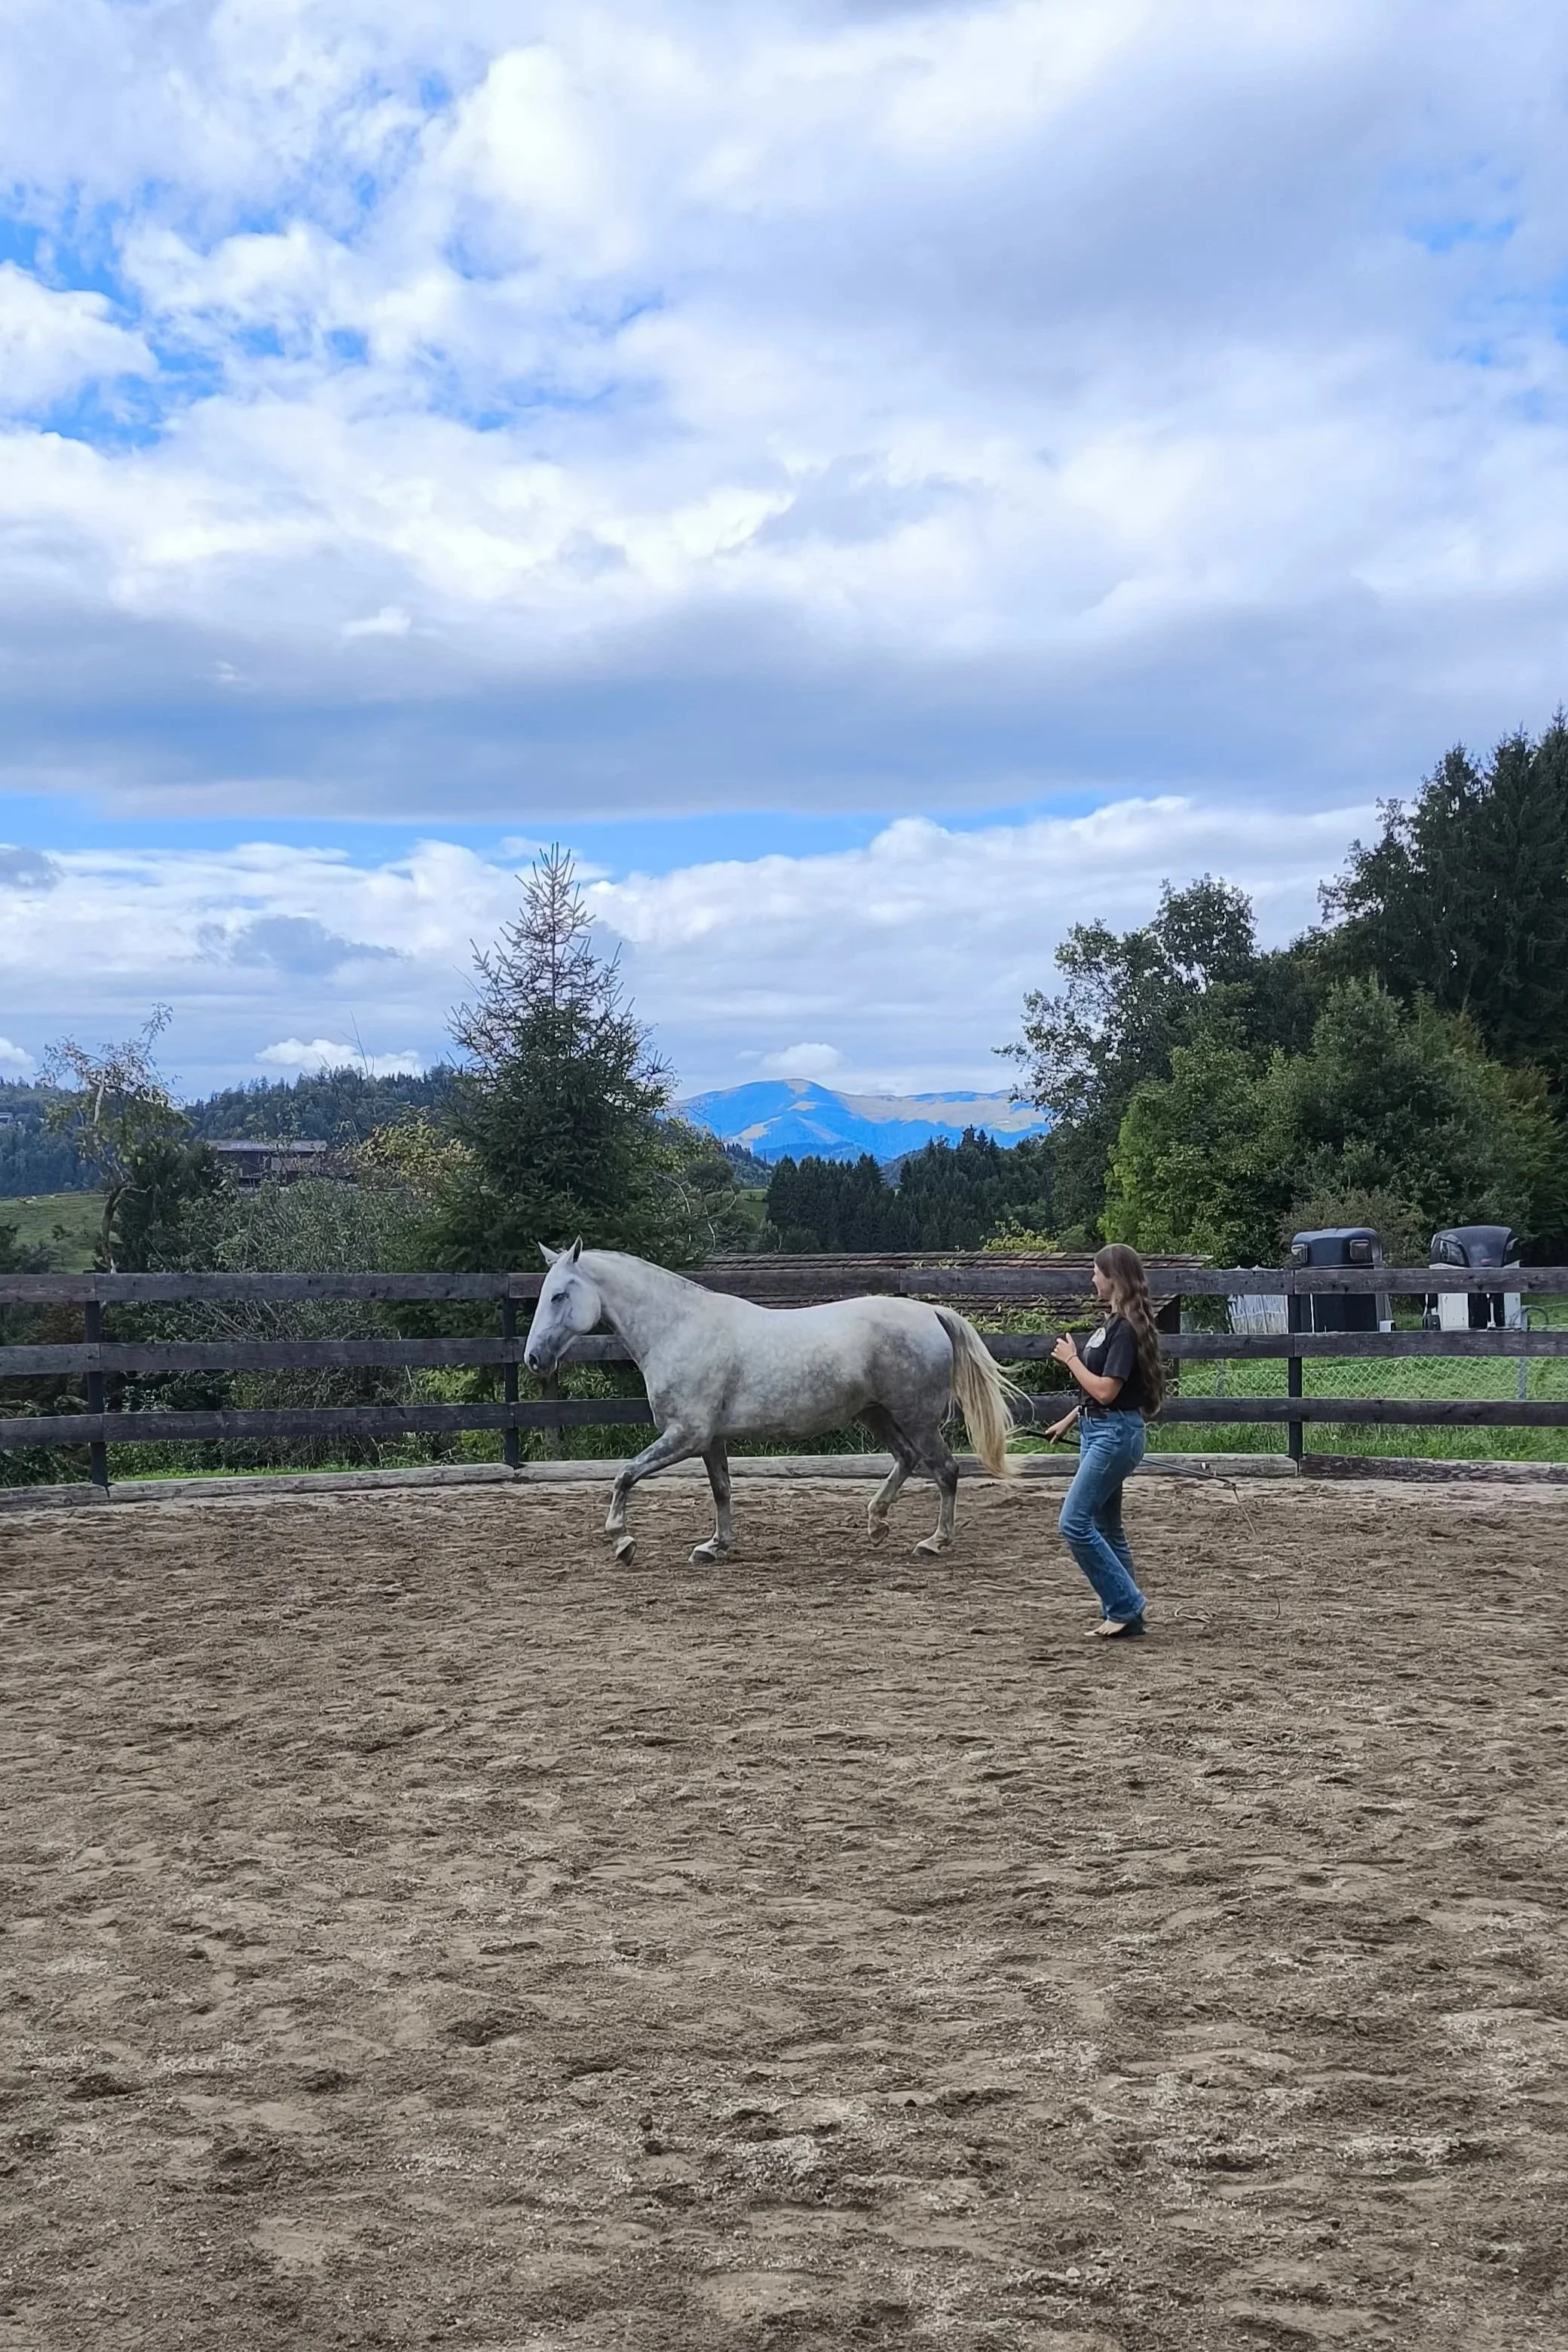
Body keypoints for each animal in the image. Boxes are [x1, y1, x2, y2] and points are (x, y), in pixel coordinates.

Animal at [523, 1242, 1026, 1564]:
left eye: (560, 1295)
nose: (533, 1359)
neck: (678, 1329)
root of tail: (931, 1312)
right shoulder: (710, 1440)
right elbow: (722, 1490)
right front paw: (714, 1547)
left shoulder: (686, 1435)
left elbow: (625, 1475)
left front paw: (622, 1542)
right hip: (877, 1414)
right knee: (907, 1460)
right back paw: (877, 1524)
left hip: (916, 1418)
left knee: (946, 1470)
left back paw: (933, 1542)